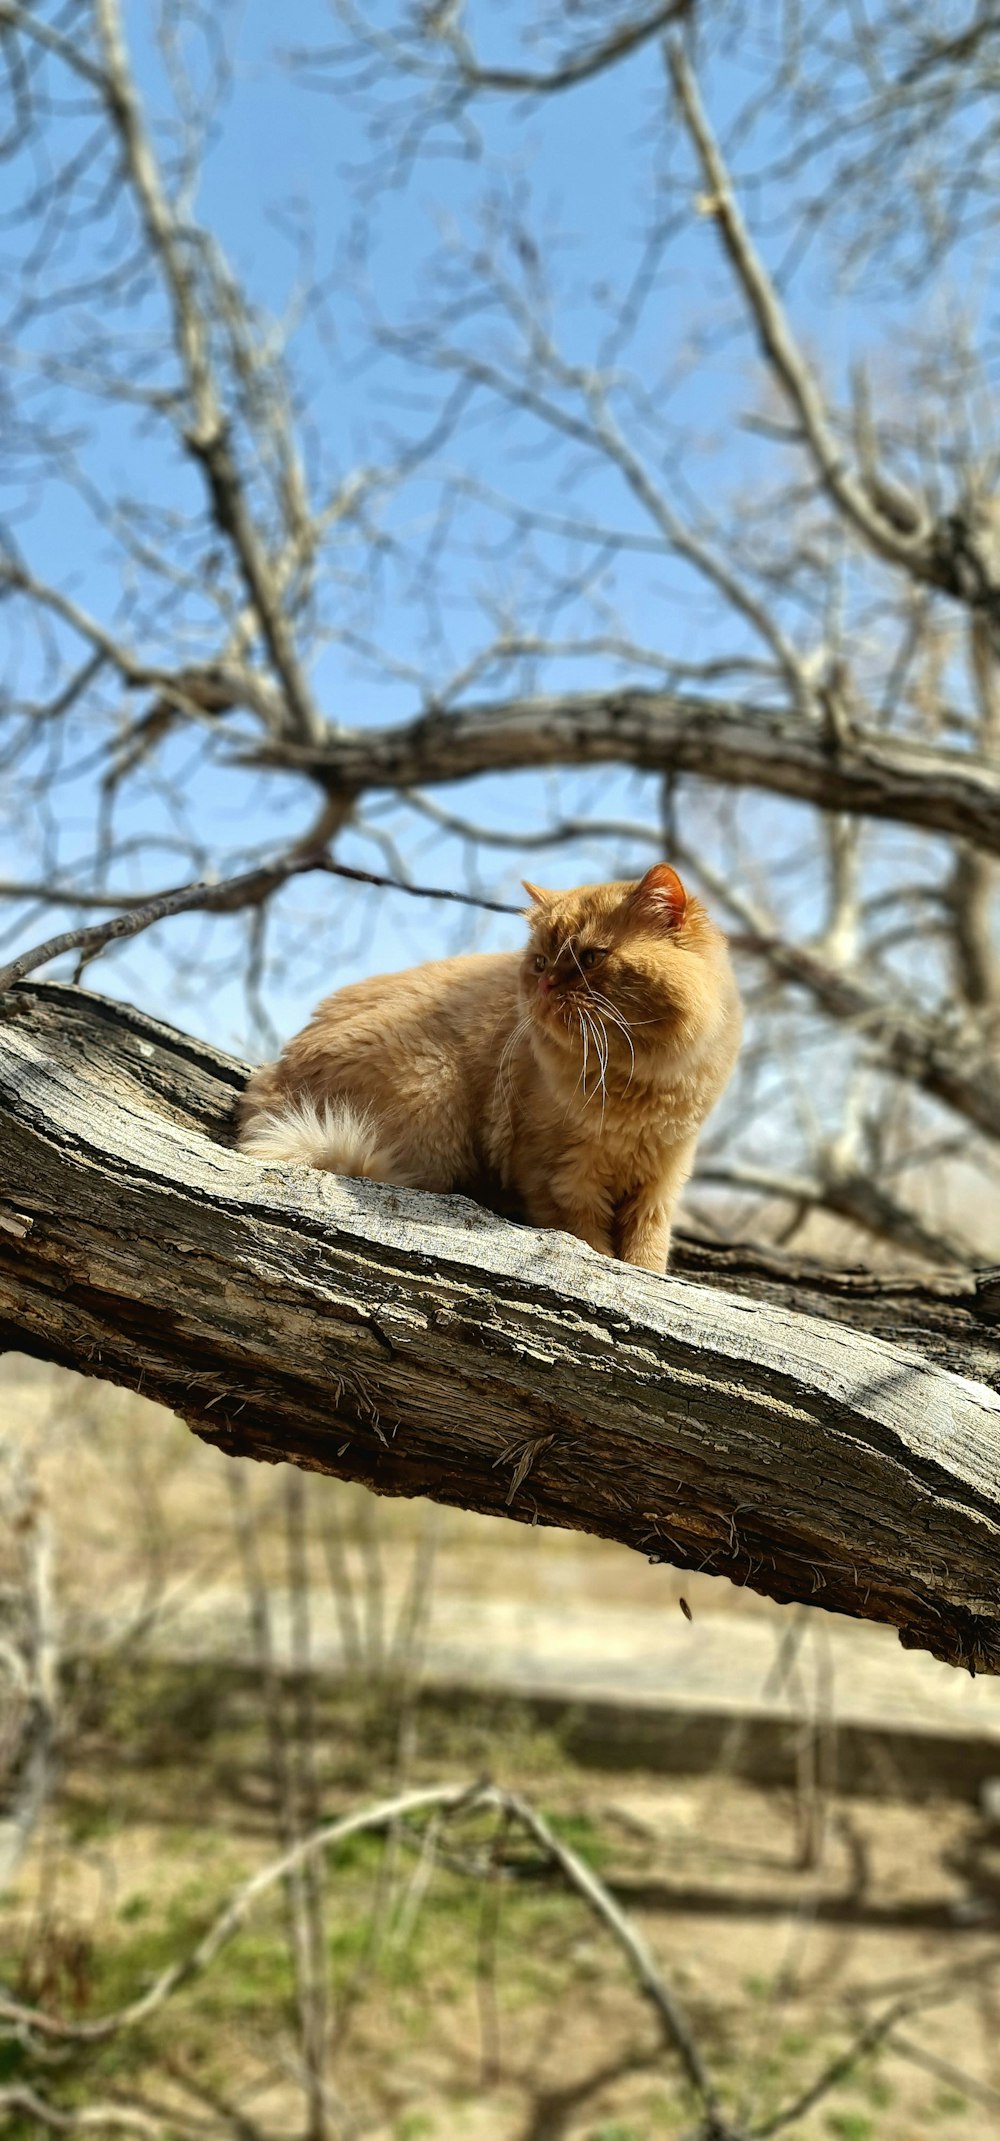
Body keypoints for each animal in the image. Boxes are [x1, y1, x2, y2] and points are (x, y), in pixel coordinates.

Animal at [238, 864, 745, 1267]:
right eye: (540, 963)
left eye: (590, 957)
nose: (546, 987)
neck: (636, 1088)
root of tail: (273, 1079)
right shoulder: (562, 1177)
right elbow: (591, 1242)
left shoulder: (662, 1178)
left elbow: (647, 1252)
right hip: (432, 1092)